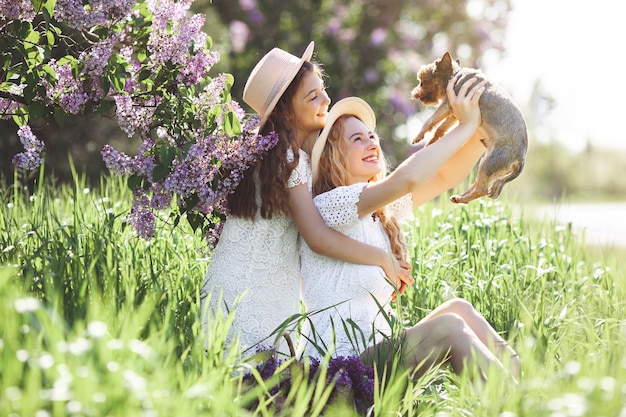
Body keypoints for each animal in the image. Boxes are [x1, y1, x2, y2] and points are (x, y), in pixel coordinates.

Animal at [412, 52, 524, 203]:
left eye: (422, 82)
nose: (414, 94)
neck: (455, 75)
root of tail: (521, 159)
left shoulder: (447, 105)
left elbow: (430, 120)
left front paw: (419, 136)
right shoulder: (453, 111)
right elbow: (440, 128)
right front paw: (431, 142)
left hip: (490, 163)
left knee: (481, 190)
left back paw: (461, 198)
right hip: (487, 164)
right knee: (477, 185)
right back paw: (460, 197)